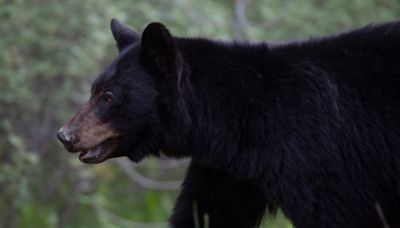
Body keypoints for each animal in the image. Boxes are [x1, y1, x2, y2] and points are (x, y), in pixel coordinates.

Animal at [57, 18, 400, 227]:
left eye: (109, 97)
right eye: (94, 90)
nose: (65, 135)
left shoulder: (324, 159)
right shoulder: (229, 170)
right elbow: (206, 213)